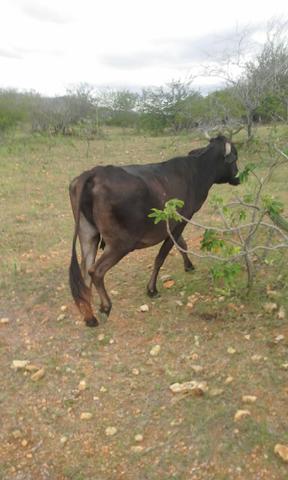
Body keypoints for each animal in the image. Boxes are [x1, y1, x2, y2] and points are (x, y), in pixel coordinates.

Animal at [68, 137, 240, 328]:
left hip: (88, 235)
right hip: (121, 243)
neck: (196, 171)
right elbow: (162, 256)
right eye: (235, 157)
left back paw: (89, 316)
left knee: (85, 272)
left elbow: (181, 244)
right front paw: (152, 289)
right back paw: (105, 307)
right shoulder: (181, 220)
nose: (238, 176)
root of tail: (94, 173)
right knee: (95, 271)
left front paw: (189, 266)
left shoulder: (173, 223)